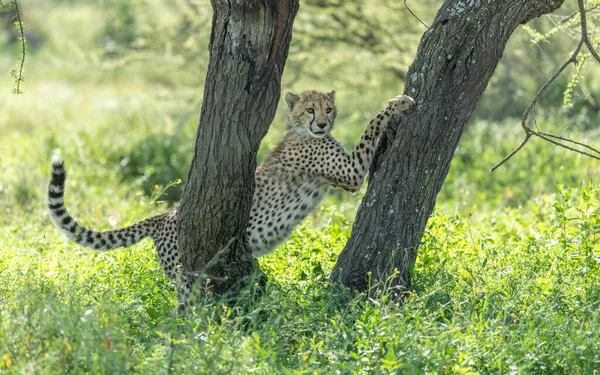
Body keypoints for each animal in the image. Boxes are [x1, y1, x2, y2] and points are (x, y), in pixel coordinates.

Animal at [47, 90, 414, 308]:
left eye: (330, 109)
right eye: (310, 110)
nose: (323, 124)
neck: (298, 131)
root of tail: (165, 214)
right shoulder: (350, 173)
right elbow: (371, 124)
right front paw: (399, 103)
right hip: (188, 275)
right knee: (185, 308)